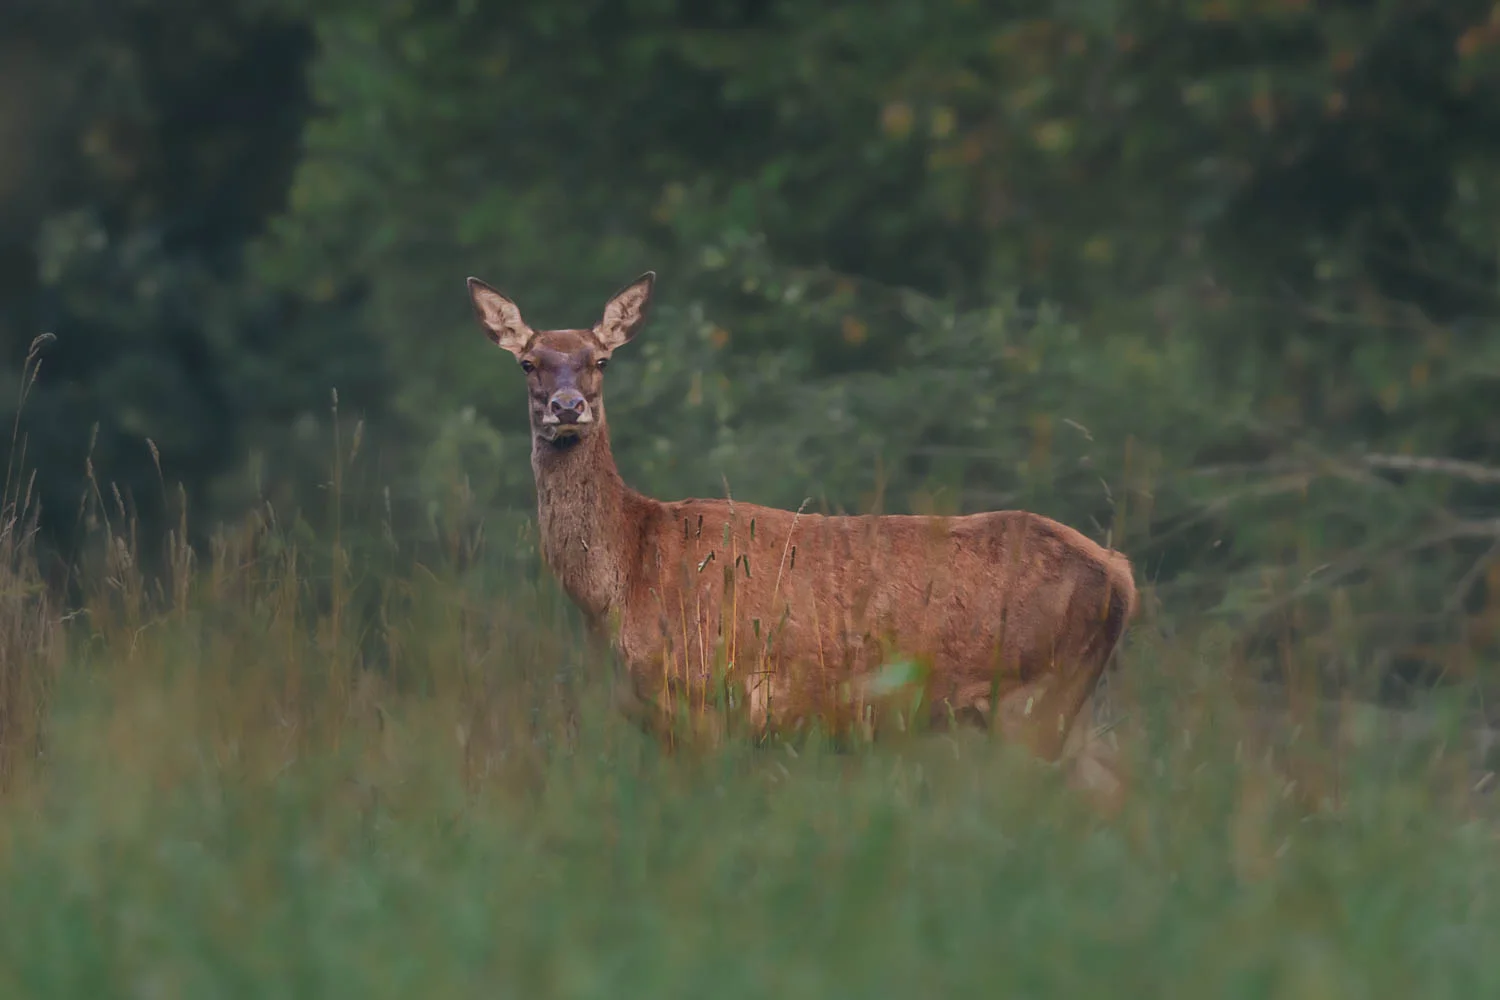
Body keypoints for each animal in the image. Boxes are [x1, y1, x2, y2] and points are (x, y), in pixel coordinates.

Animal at [465, 270, 1138, 794]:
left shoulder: (708, 699)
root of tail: (1122, 573)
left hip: (1036, 696)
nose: (568, 407)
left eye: (600, 360)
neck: (625, 578)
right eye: (528, 362)